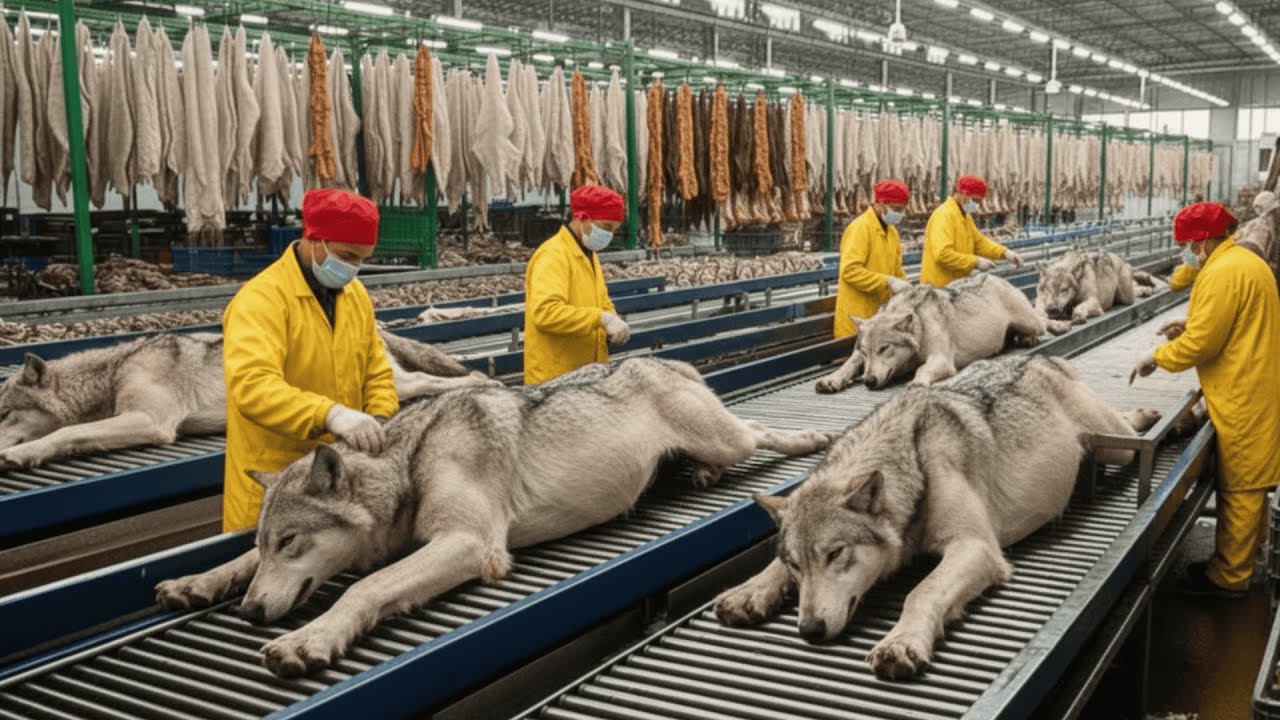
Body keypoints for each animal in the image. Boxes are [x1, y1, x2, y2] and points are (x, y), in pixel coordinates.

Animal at [0, 330, 497, 469]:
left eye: (4, 413)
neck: (114, 371)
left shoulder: (150, 421)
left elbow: (68, 432)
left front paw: (23, 454)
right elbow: (75, 431)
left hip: (403, 384)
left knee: (444, 380)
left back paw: (483, 382)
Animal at [152, 357, 835, 677]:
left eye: (292, 541)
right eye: (273, 541)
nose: (248, 615)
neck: (412, 462)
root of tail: (669, 361)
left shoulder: (468, 542)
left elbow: (365, 588)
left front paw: (307, 639)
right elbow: (236, 558)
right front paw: (197, 582)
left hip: (729, 437)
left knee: (759, 430)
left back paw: (811, 441)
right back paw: (704, 475)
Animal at [716, 355, 1161, 680]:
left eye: (836, 554)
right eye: (796, 563)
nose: (809, 631)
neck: (913, 462)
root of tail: (1041, 356)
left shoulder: (975, 547)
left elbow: (921, 591)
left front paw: (901, 643)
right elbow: (769, 569)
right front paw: (751, 590)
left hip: (1116, 447)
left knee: (1128, 432)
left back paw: (1152, 417)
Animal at [815, 274, 1072, 394]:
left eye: (884, 348)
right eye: (865, 351)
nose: (867, 381)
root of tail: (998, 277)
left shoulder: (942, 360)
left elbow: (922, 370)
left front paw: (916, 382)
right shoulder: (858, 358)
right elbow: (848, 364)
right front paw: (832, 379)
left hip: (1029, 320)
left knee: (1041, 320)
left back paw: (1055, 328)